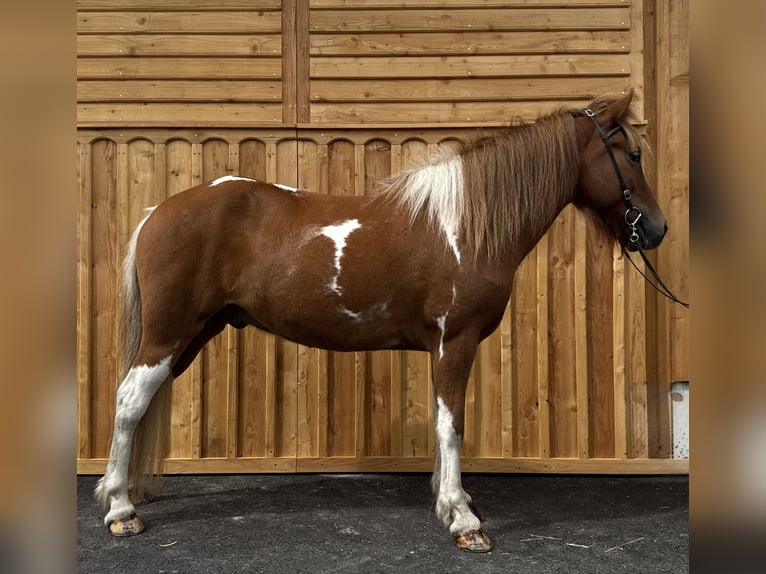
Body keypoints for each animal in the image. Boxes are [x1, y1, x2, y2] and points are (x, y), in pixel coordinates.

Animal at [94, 90, 667, 553]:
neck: (465, 227)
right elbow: (452, 424)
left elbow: (442, 424)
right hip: (168, 335)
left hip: (192, 334)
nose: (657, 228)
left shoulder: (445, 348)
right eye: (633, 155)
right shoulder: (455, 342)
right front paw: (464, 520)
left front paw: (449, 500)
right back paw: (121, 510)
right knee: (128, 402)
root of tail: (156, 212)